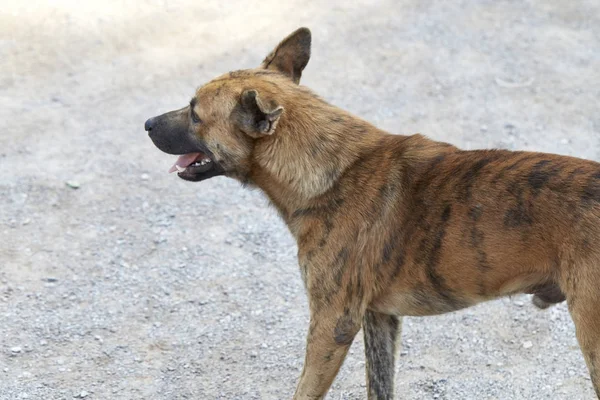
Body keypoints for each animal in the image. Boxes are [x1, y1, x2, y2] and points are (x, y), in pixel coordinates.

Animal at [145, 26, 600, 398]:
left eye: (195, 113)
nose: (147, 123)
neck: (331, 171)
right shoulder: (379, 318)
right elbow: (380, 387)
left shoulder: (332, 325)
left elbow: (304, 390)